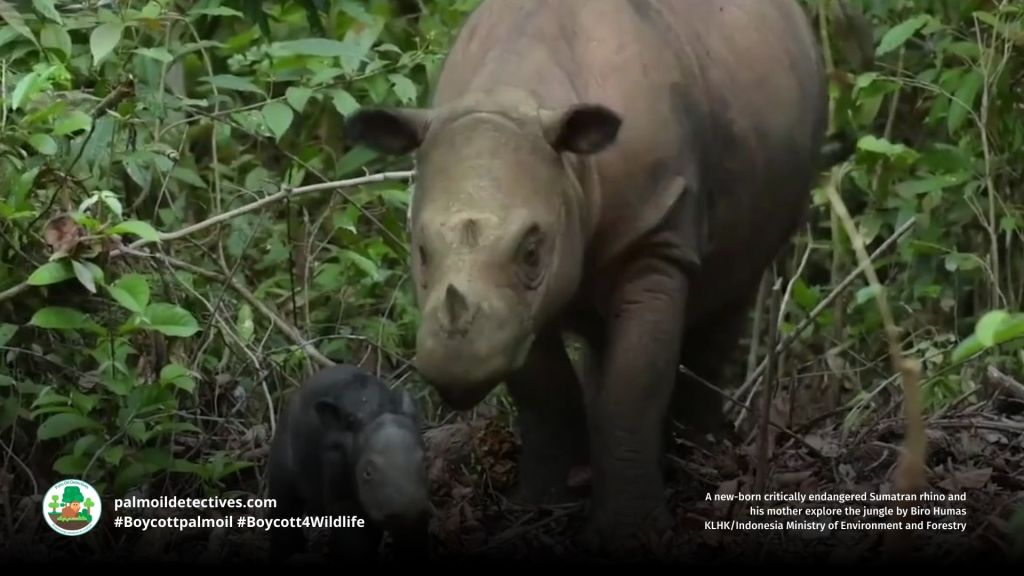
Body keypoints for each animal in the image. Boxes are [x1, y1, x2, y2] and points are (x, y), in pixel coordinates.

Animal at [346, 0, 835, 551]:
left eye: (532, 251)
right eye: (422, 251)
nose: (455, 366)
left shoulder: (655, 235)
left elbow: (635, 383)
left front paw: (630, 532)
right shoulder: (515, 308)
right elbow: (542, 384)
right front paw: (543, 504)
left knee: (731, 298)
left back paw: (701, 461)